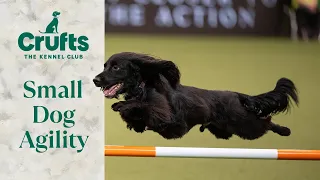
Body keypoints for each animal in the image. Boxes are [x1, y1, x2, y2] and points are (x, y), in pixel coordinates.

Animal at [94, 52, 298, 141]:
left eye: (116, 67)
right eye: (105, 66)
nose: (96, 80)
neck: (142, 86)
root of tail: (236, 94)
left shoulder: (166, 115)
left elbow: (143, 106)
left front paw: (121, 106)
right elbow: (136, 119)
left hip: (244, 124)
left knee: (265, 122)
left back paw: (285, 130)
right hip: (223, 130)